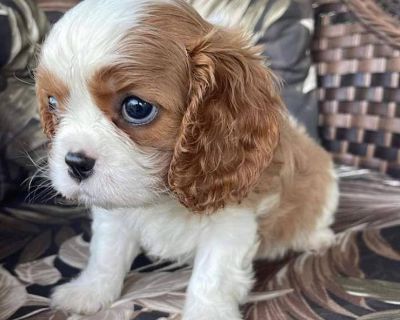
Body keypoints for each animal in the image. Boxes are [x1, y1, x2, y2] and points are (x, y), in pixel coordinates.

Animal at [36, 1, 340, 318]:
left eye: (137, 107)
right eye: (52, 104)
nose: (74, 162)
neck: (163, 196)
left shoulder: (230, 222)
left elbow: (212, 278)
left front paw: (208, 312)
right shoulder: (114, 215)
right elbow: (106, 254)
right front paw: (90, 291)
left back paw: (315, 237)